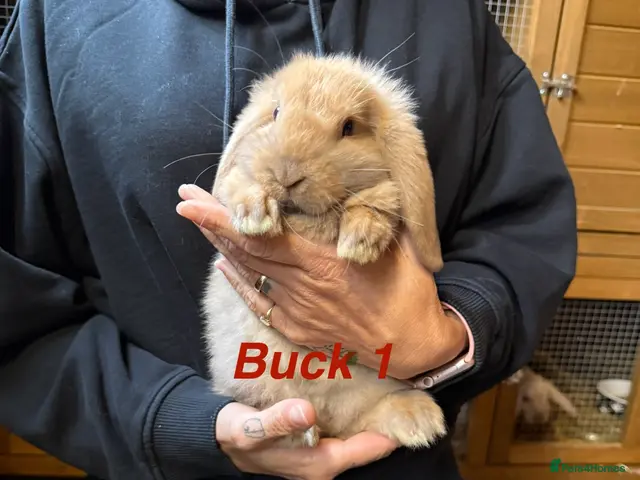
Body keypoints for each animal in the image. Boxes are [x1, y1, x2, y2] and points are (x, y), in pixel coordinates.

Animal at [202, 52, 446, 450]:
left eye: (349, 127)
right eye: (276, 113)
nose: (288, 173)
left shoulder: (384, 193)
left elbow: (380, 200)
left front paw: (359, 242)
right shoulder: (239, 180)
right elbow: (240, 184)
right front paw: (256, 217)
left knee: (360, 421)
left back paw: (418, 420)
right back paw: (303, 428)